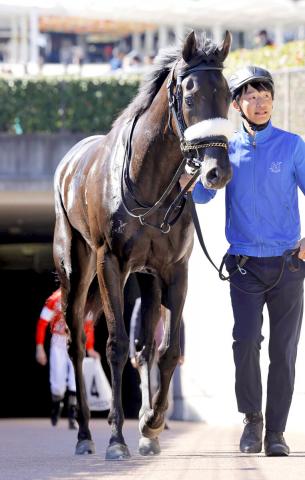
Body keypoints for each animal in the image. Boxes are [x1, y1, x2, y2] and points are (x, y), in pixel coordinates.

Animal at [53, 31, 232, 462]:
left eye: (228, 95)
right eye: (190, 94)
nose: (217, 171)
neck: (148, 182)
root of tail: (68, 164)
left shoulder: (176, 269)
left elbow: (166, 349)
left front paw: (151, 422)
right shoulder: (110, 263)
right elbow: (116, 345)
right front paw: (116, 439)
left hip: (147, 278)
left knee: (147, 345)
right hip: (76, 270)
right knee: (76, 345)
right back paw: (85, 434)